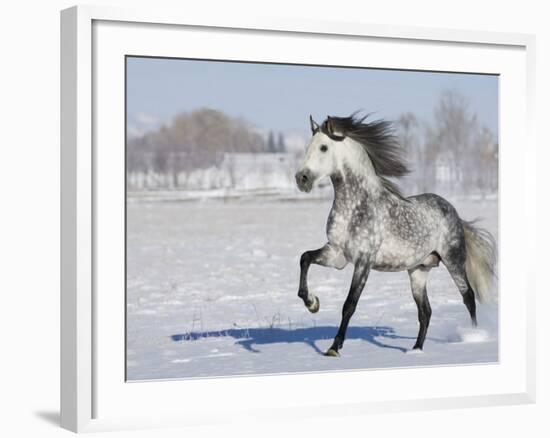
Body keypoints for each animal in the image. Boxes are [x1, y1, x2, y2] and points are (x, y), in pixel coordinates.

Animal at [296, 113, 498, 356]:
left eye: (324, 147)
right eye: (309, 146)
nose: (301, 179)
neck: (355, 207)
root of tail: (454, 212)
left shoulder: (364, 261)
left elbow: (349, 304)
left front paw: (334, 348)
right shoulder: (337, 255)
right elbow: (305, 258)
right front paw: (312, 303)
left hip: (454, 261)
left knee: (468, 297)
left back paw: (473, 336)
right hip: (418, 270)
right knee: (425, 311)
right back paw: (416, 349)